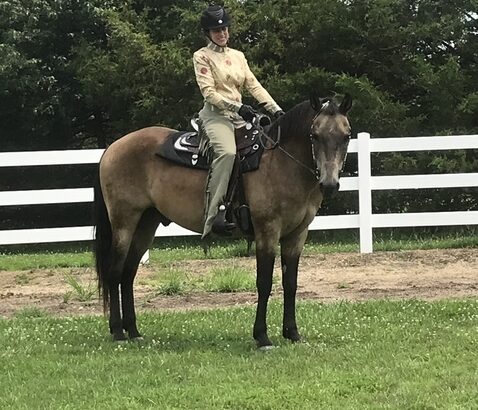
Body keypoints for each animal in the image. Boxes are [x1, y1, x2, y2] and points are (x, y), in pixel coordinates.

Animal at [95, 92, 352, 346]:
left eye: (346, 135)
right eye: (314, 135)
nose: (329, 184)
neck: (281, 162)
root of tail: (113, 147)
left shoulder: (297, 235)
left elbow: (290, 283)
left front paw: (292, 333)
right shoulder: (267, 231)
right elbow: (264, 282)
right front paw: (262, 336)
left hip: (146, 224)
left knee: (128, 274)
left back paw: (133, 330)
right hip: (124, 223)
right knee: (115, 272)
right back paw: (118, 332)